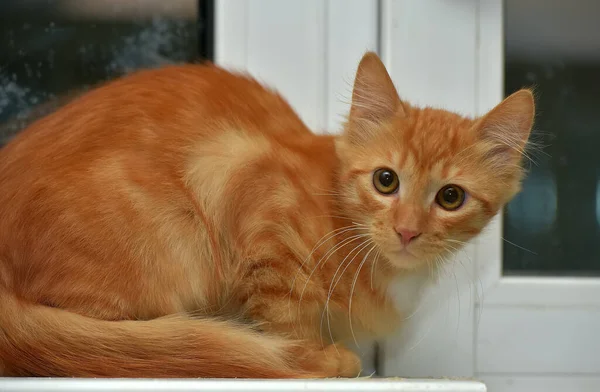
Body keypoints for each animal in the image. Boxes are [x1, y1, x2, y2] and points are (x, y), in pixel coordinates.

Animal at [0, 51, 536, 376]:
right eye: (386, 181)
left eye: (450, 197)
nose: (407, 231)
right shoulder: (252, 186)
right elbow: (284, 313)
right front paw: (314, 357)